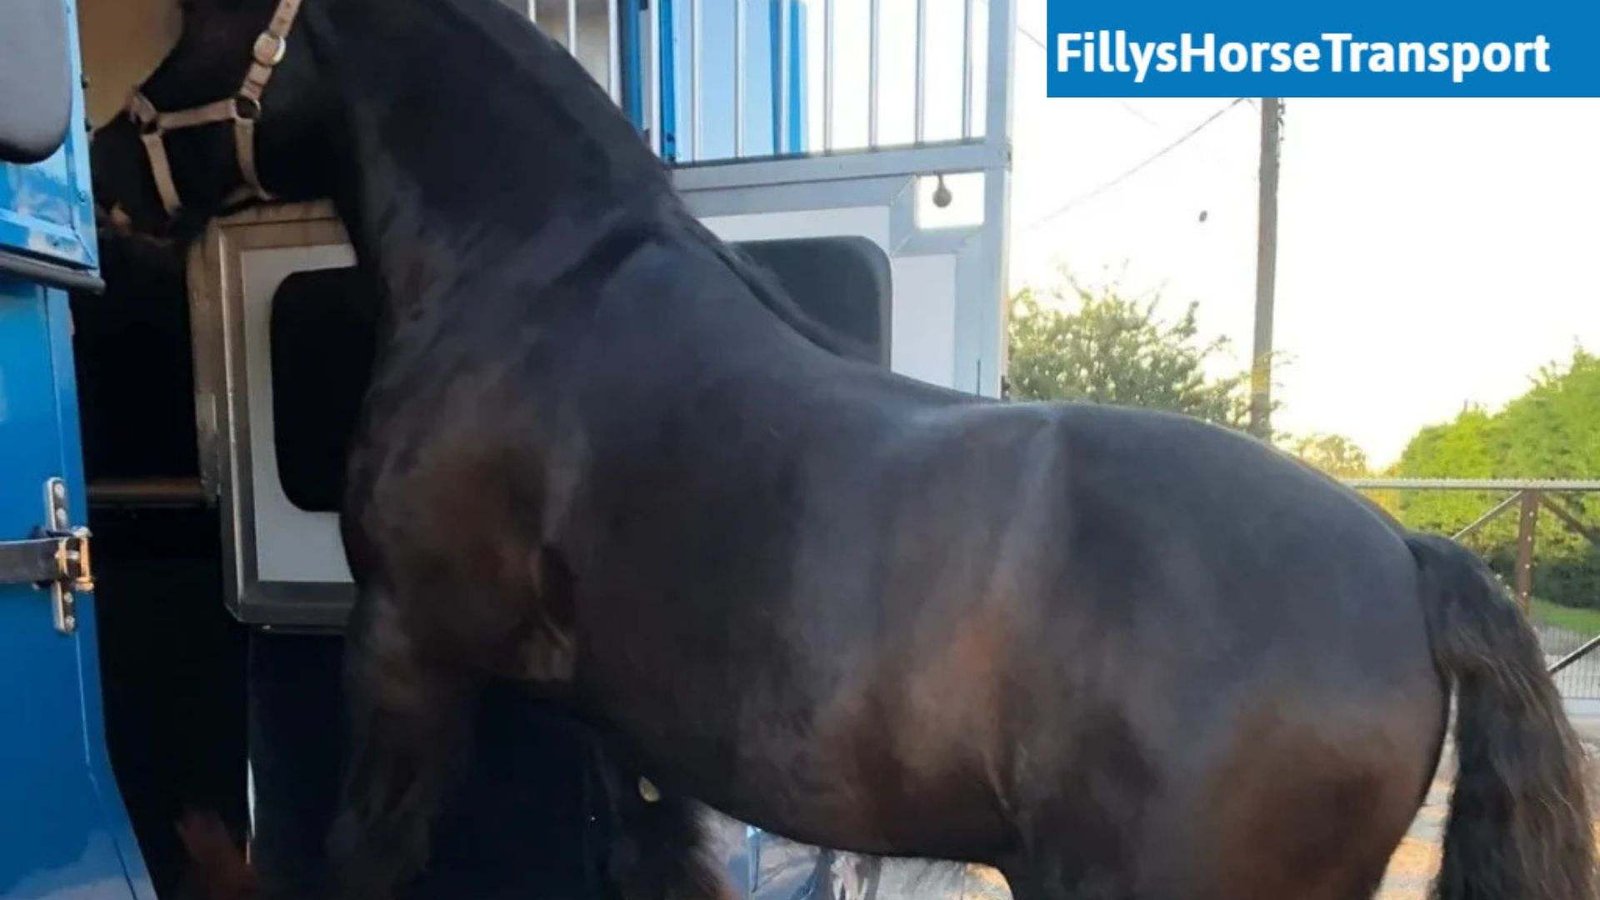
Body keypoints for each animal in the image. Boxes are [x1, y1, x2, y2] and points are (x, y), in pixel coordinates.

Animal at [89, 0, 1596, 898]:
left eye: (204, 21)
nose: (104, 175)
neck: (538, 289)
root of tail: (1406, 559)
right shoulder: (612, 725)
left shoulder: (405, 654)